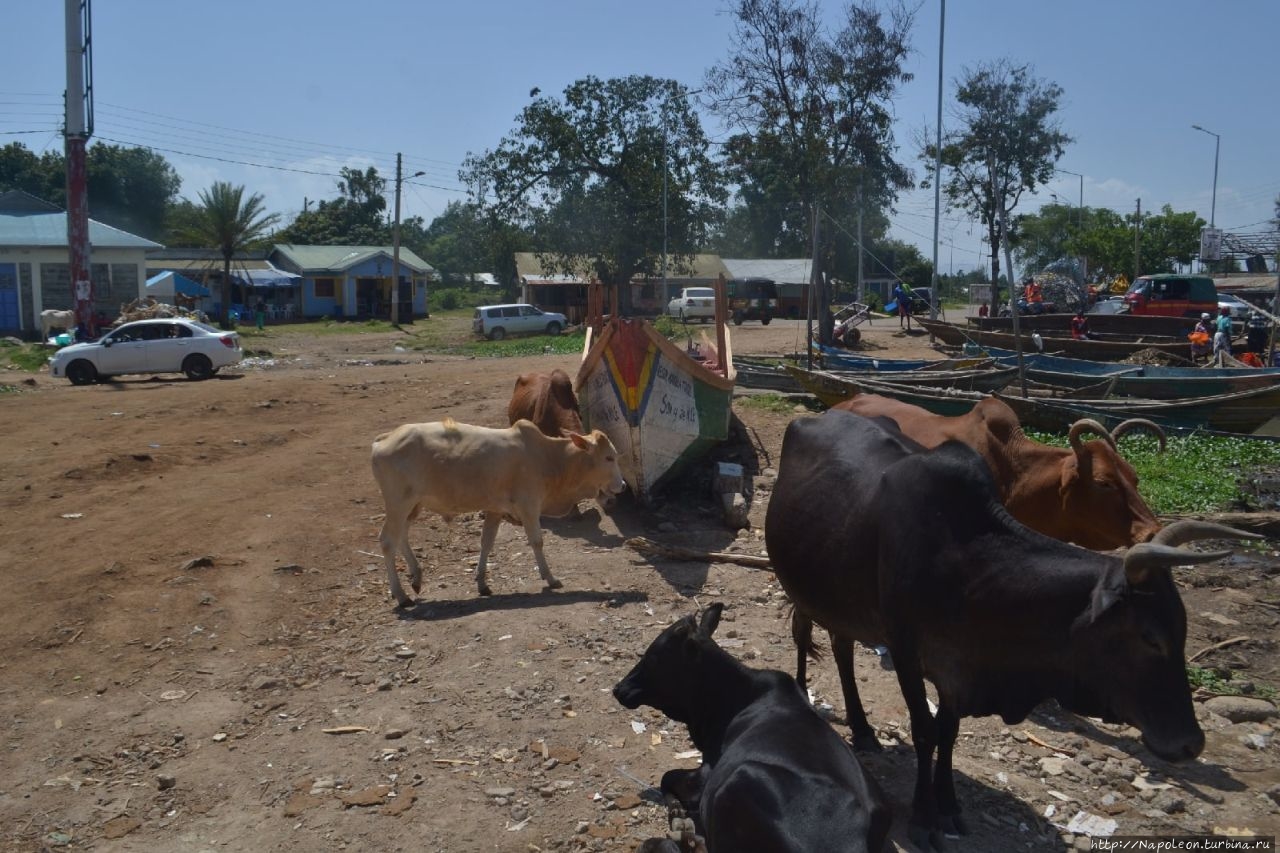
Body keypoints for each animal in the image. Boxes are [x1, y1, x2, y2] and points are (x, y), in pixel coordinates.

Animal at [368, 412, 627, 601]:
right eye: (609, 458)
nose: (622, 485)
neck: (548, 458)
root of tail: (384, 439)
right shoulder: (529, 505)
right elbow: (537, 541)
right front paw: (550, 578)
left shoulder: (495, 510)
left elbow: (487, 542)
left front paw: (482, 582)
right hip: (398, 504)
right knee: (388, 541)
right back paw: (401, 594)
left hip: (412, 506)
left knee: (402, 536)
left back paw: (416, 577)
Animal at [614, 601, 885, 850]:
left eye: (653, 657)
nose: (618, 688)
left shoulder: (705, 774)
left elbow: (666, 777)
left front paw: (678, 815)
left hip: (738, 780)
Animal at [762, 409, 1254, 845]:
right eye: (1150, 638)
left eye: (1183, 630)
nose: (1191, 744)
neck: (968, 561)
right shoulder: (906, 652)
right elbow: (924, 730)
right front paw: (923, 817)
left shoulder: (957, 669)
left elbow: (947, 733)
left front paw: (949, 806)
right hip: (806, 588)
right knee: (810, 636)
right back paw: (810, 697)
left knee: (841, 647)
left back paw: (863, 730)